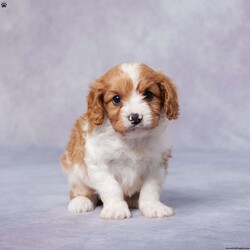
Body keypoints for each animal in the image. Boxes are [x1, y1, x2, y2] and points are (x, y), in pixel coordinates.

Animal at [60, 62, 179, 219]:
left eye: (148, 95)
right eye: (116, 99)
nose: (135, 117)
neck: (133, 140)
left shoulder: (156, 164)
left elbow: (150, 189)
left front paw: (152, 206)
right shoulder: (99, 163)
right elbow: (111, 187)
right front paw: (116, 209)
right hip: (74, 168)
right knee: (79, 190)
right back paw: (80, 201)